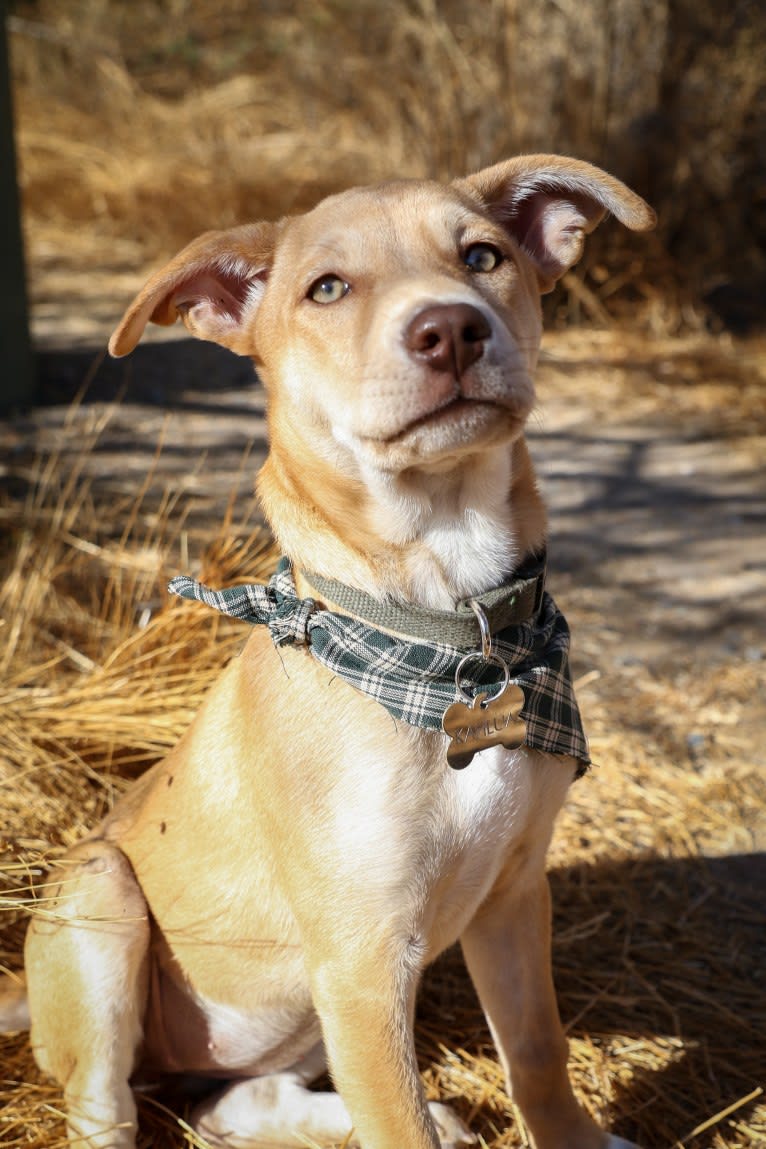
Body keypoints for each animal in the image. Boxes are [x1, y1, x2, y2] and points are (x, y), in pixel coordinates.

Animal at [2, 159, 656, 1149]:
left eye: (483, 257)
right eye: (329, 288)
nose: (451, 328)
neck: (445, 636)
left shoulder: (513, 893)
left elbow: (539, 1056)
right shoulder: (362, 958)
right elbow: (399, 1127)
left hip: (291, 1022)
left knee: (233, 1102)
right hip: (101, 889)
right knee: (106, 1109)